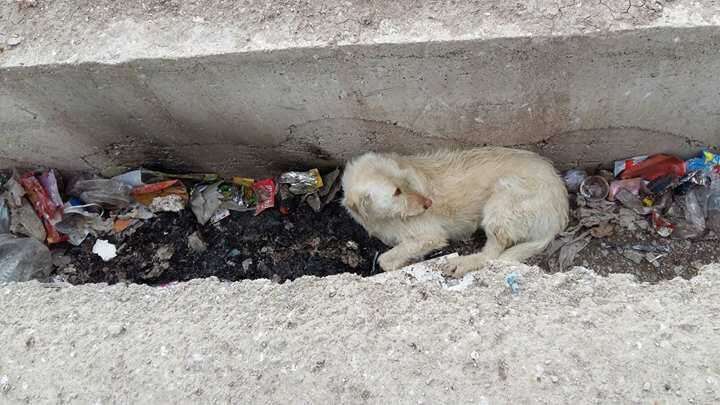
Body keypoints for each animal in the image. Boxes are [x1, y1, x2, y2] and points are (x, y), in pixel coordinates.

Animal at [342, 147, 568, 276]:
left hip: (502, 201)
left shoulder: (430, 236)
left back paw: (463, 263)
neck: (385, 219)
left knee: (492, 254)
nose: (428, 203)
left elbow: (385, 260)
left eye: (406, 180)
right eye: (396, 192)